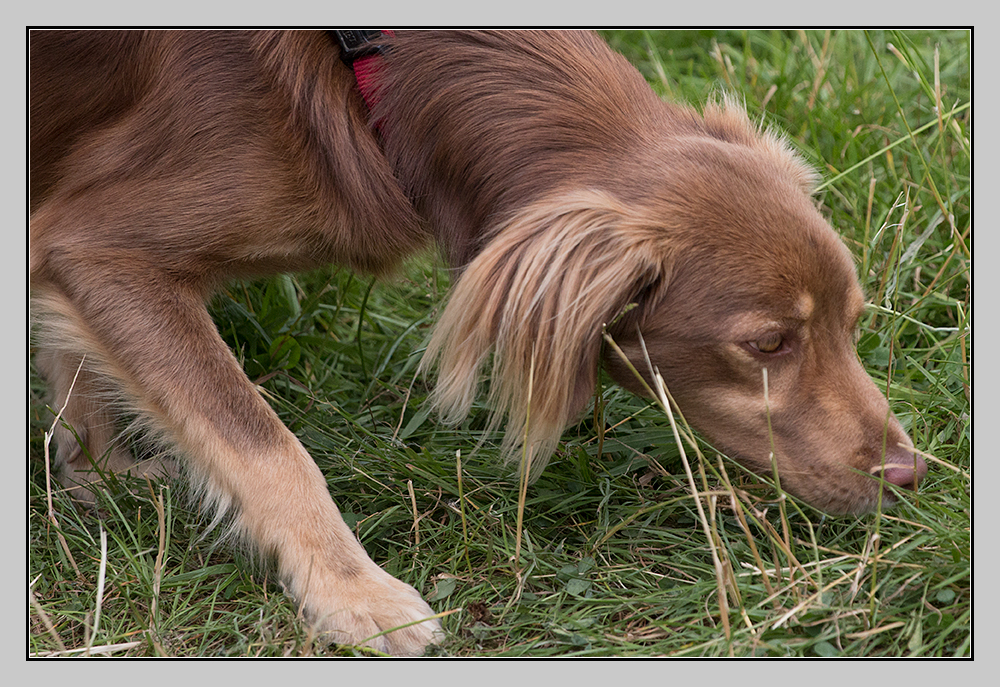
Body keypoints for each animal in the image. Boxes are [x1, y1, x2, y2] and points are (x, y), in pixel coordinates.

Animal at [25, 30, 928, 656]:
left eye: (852, 322)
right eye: (768, 343)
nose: (909, 474)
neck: (372, 65)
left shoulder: (61, 233)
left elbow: (76, 354)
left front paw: (96, 474)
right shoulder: (101, 243)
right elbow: (262, 440)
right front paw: (356, 595)